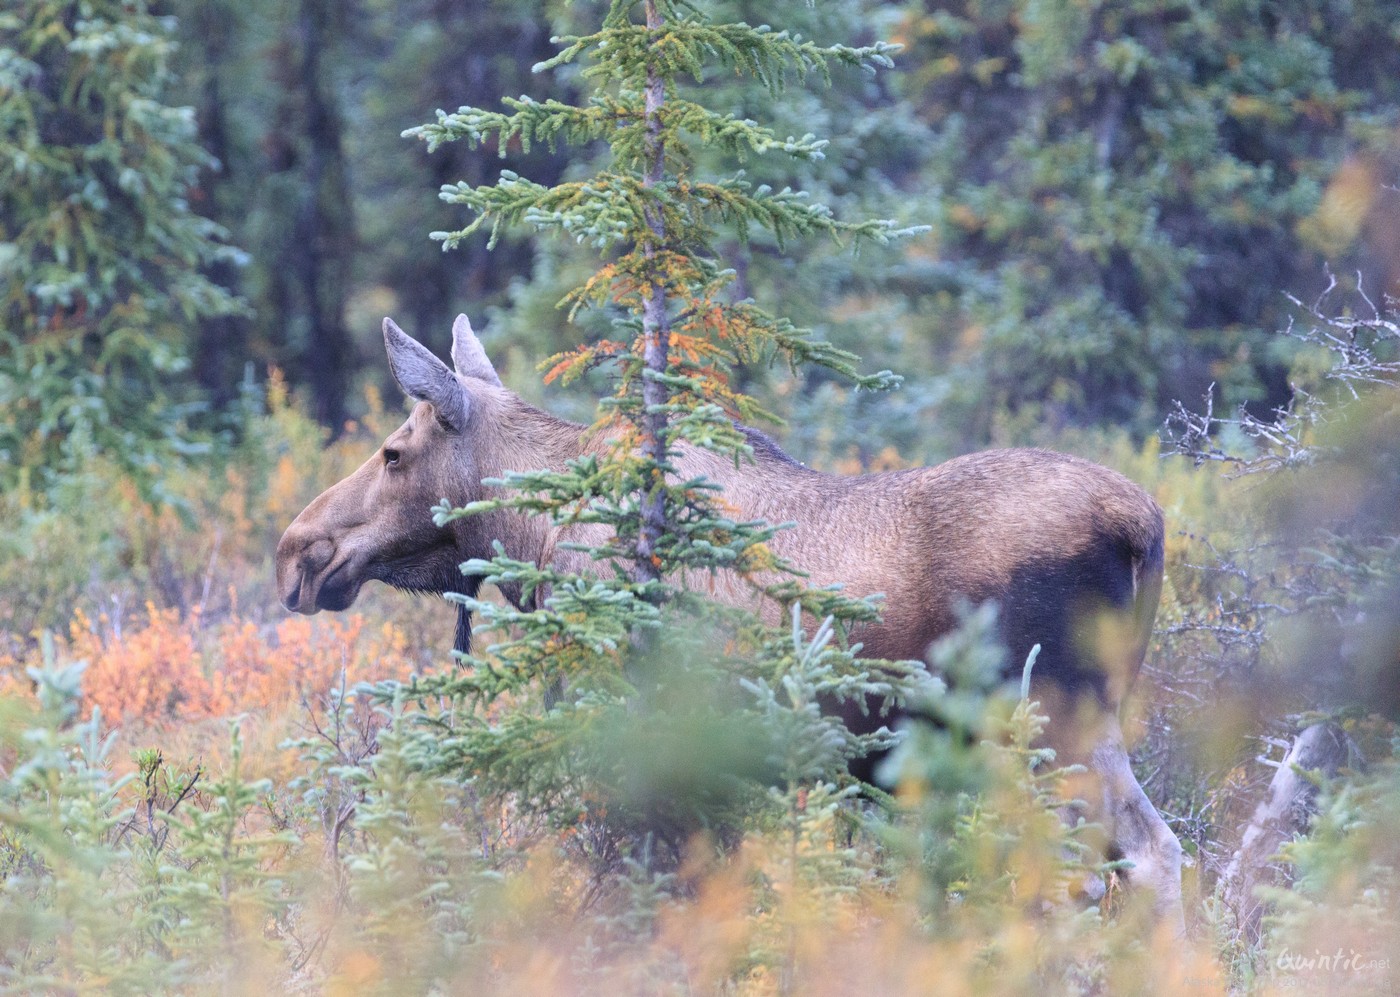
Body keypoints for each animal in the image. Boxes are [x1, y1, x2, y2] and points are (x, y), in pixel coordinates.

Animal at [278, 315, 1187, 929]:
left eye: (393, 453)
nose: (297, 551)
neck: (538, 537)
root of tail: (1143, 524)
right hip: (1095, 724)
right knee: (1157, 851)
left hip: (1045, 722)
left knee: (1086, 871)